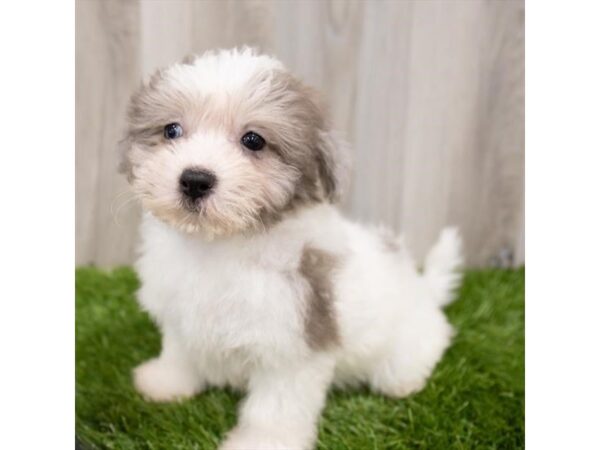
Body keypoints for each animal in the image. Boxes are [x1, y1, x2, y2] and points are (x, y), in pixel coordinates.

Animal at [118, 48, 464, 450]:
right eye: (171, 130)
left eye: (253, 140)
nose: (194, 179)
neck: (219, 245)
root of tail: (422, 288)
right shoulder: (178, 312)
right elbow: (178, 350)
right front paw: (165, 382)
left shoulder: (293, 338)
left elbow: (276, 406)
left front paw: (262, 441)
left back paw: (406, 381)